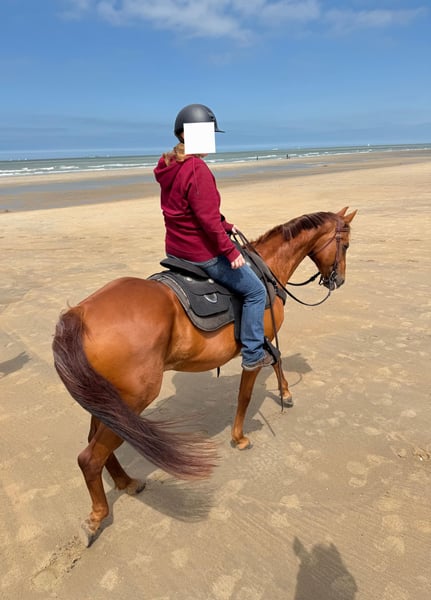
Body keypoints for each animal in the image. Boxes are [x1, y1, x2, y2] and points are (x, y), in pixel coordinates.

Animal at [52, 207, 356, 545]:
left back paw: (126, 482)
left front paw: (286, 393)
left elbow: (277, 360)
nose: (339, 280)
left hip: (107, 400)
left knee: (96, 444)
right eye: (345, 245)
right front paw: (239, 437)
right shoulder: (256, 346)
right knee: (89, 458)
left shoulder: (266, 340)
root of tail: (78, 314)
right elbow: (246, 393)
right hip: (132, 399)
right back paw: (96, 518)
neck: (266, 269)